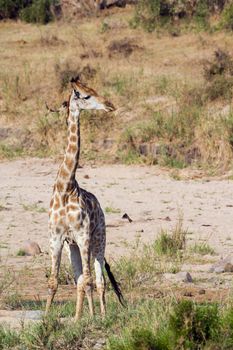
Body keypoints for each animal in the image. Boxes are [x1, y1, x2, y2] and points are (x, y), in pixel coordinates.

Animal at [46, 76, 125, 320]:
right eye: (86, 95)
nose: (110, 105)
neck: (65, 188)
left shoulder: (83, 236)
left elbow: (88, 280)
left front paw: (84, 318)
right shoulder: (57, 237)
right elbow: (54, 282)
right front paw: (47, 317)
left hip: (98, 240)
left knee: (98, 281)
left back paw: (101, 315)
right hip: (73, 246)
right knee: (82, 279)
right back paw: (85, 315)